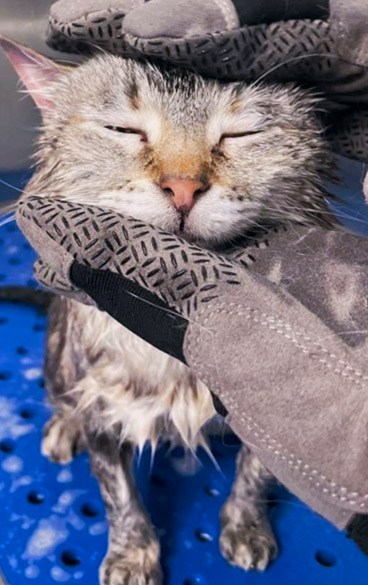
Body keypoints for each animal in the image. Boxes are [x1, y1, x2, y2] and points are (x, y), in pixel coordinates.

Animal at [1, 38, 336, 580]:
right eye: (123, 130)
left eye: (242, 133)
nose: (183, 188)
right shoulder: (101, 406)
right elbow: (120, 498)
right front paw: (133, 555)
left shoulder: (276, 410)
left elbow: (254, 476)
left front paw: (245, 526)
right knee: (60, 394)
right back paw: (62, 426)